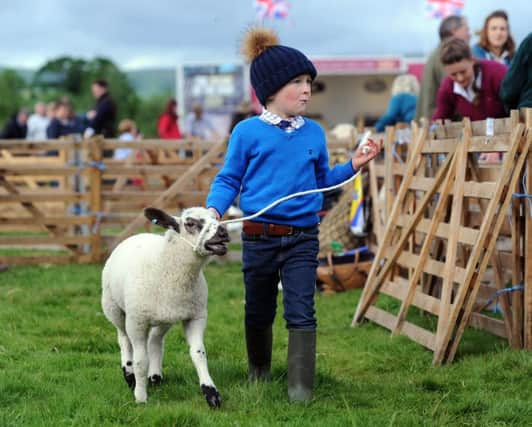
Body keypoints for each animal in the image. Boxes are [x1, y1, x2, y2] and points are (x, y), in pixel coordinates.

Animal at [101, 207, 230, 408]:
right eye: (190, 223)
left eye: (215, 217)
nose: (223, 232)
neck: (165, 266)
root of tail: (138, 235)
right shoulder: (137, 321)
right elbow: (140, 361)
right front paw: (140, 397)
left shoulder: (196, 316)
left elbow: (199, 354)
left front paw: (211, 393)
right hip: (114, 308)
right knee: (124, 340)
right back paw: (129, 375)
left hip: (165, 317)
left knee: (155, 341)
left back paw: (155, 376)